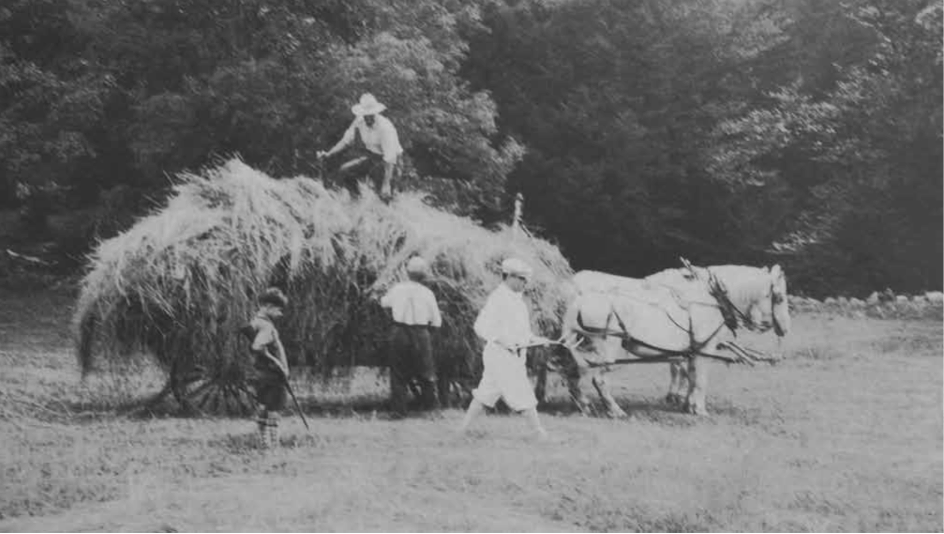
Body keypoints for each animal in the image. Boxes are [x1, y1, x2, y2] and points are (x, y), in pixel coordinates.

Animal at [560, 264, 788, 418]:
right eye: (779, 297)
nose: (785, 329)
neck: (712, 298)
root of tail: (578, 301)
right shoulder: (705, 347)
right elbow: (699, 378)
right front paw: (699, 409)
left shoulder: (691, 350)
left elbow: (691, 375)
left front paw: (688, 405)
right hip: (607, 346)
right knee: (598, 379)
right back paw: (615, 410)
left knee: (573, 371)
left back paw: (583, 405)